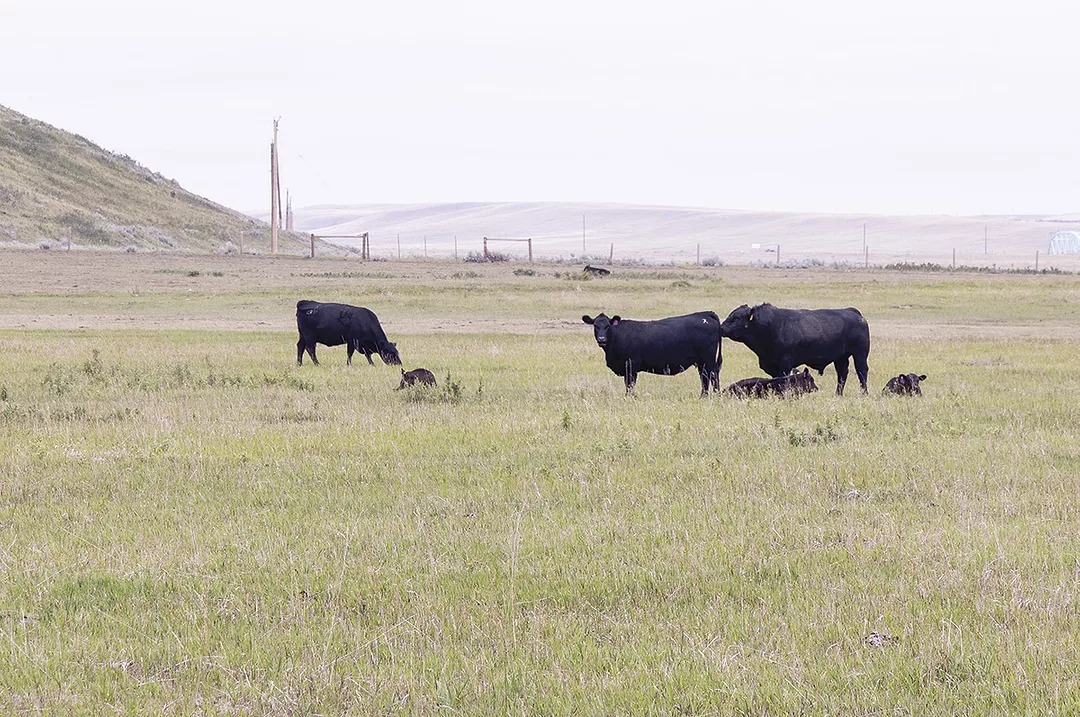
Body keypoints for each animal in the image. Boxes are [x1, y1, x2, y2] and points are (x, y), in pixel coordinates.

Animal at [581, 311, 722, 396]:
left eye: (607, 326)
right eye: (595, 326)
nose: (602, 339)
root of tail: (705, 314)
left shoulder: (631, 366)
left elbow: (629, 384)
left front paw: (629, 397)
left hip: (708, 359)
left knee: (713, 375)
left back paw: (716, 394)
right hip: (701, 362)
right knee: (704, 377)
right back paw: (703, 396)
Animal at [720, 303, 870, 395]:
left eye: (737, 317)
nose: (721, 328)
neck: (770, 326)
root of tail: (853, 312)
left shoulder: (785, 362)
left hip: (860, 354)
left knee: (862, 372)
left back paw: (864, 393)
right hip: (841, 357)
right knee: (842, 374)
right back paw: (838, 394)